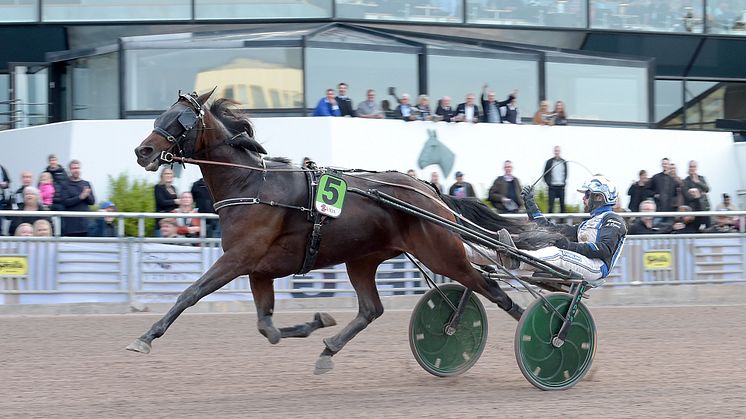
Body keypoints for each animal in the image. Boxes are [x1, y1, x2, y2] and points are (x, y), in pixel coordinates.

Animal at [131, 91, 544, 374]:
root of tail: (428, 189)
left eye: (181, 120)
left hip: (442, 252)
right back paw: (329, 348)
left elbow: (191, 293)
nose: (142, 151)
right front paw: (316, 323)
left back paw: (537, 333)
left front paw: (145, 337)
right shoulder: (259, 270)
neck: (252, 184)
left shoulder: (238, 259)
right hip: (363, 258)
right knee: (371, 308)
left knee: (490, 288)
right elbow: (267, 327)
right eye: (161, 115)